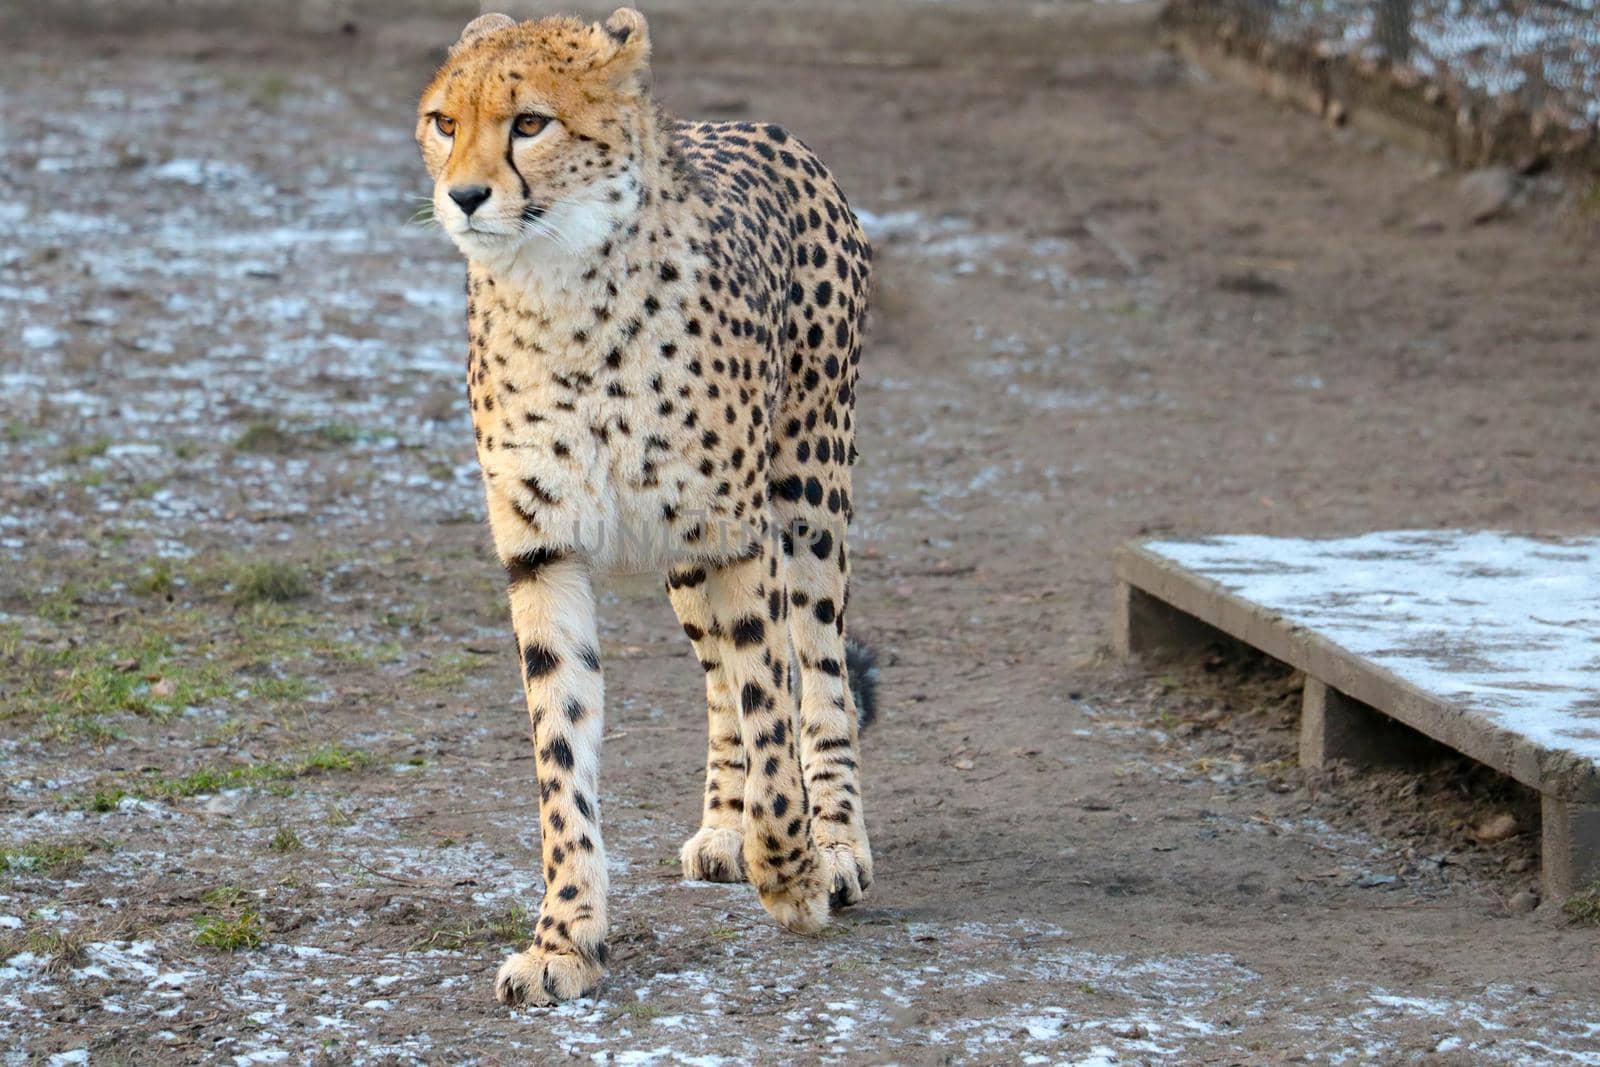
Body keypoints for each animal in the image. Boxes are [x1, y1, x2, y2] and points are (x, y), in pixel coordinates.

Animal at [416, 10, 876, 1011]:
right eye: (443, 121)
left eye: (530, 123)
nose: (464, 196)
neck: (562, 292)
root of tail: (757, 128)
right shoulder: (544, 553)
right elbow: (564, 754)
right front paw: (565, 937)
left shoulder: (737, 533)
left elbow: (772, 703)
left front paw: (793, 873)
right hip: (685, 556)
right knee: (717, 676)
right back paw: (724, 826)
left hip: (808, 491)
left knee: (816, 665)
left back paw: (836, 841)